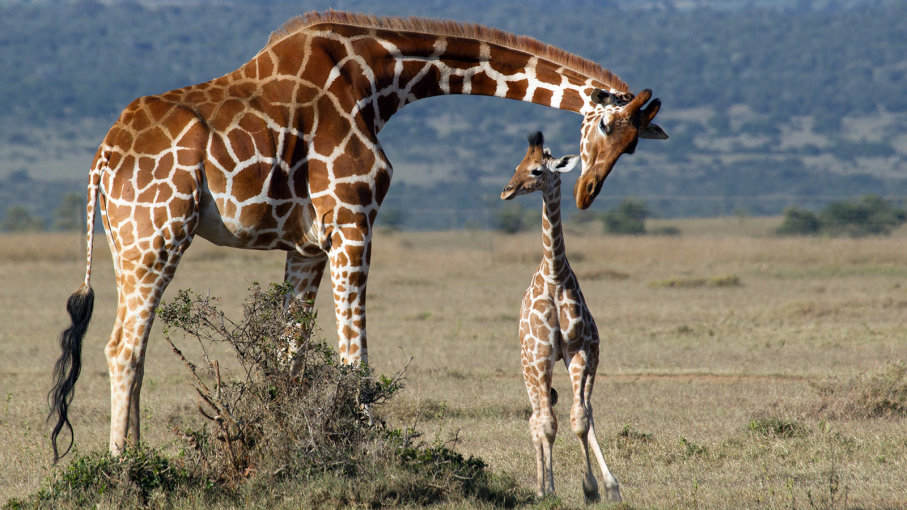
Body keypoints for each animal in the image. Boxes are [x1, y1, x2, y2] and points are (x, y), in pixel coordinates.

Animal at [48, 9, 668, 460]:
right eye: (605, 125)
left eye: (633, 147)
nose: (588, 191)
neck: (380, 80)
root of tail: (102, 160)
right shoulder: (353, 217)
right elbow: (355, 359)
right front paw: (366, 446)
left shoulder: (306, 244)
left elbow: (291, 354)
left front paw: (294, 445)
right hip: (156, 235)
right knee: (122, 347)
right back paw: (124, 466)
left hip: (130, 242)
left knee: (131, 346)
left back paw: (134, 455)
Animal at [504, 131, 624, 502]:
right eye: (517, 164)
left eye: (537, 170)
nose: (506, 190)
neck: (555, 275)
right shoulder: (542, 356)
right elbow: (548, 425)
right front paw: (549, 491)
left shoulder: (579, 351)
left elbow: (580, 419)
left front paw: (597, 488)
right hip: (529, 368)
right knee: (536, 419)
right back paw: (543, 488)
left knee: (581, 412)